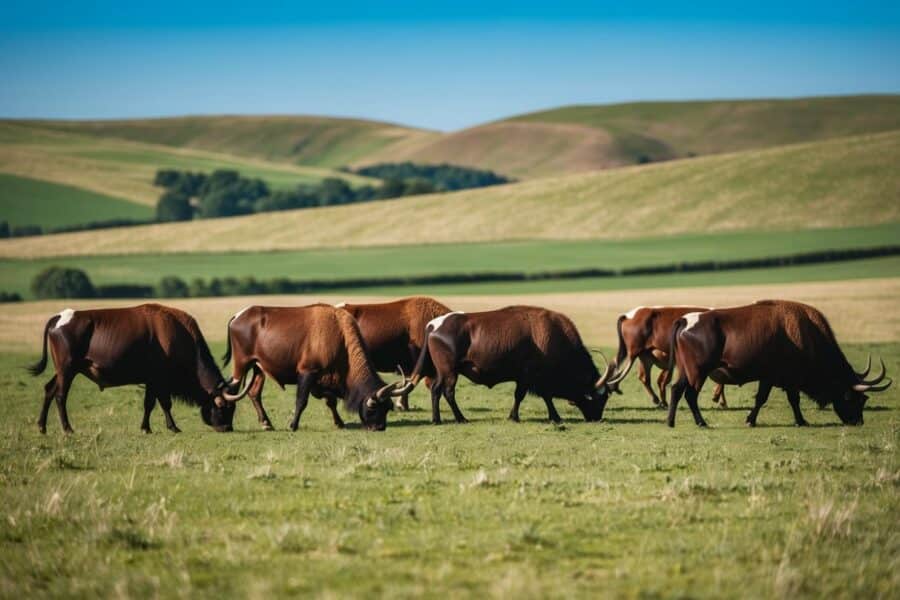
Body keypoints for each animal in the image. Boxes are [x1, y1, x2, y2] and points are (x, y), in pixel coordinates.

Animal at [27, 308, 237, 434]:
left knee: (49, 390)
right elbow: (162, 404)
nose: (227, 427)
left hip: (63, 371)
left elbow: (151, 404)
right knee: (60, 395)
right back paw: (67, 429)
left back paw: (42, 427)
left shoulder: (153, 382)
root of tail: (58, 318)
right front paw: (171, 427)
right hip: (67, 370)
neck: (176, 335)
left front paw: (148, 427)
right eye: (223, 406)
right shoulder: (159, 381)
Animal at [221, 304, 408, 432]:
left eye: (387, 408)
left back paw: (266, 423)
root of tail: (238, 315)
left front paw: (339, 422)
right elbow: (302, 401)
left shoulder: (326, 379)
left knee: (254, 393)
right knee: (232, 390)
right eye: (373, 408)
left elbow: (330, 401)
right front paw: (293, 425)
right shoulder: (307, 372)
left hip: (258, 368)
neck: (338, 335)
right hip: (241, 365)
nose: (379, 427)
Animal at [402, 308, 608, 424]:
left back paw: (439, 418)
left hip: (443, 371)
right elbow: (526, 396)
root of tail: (433, 325)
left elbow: (543, 396)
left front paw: (552, 416)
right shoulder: (528, 376)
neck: (552, 335)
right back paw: (455, 418)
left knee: (437, 390)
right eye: (600, 398)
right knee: (445, 391)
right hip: (449, 371)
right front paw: (516, 417)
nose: (597, 418)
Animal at [596, 308, 732, 410]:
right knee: (628, 372)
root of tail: (628, 315)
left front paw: (719, 399)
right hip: (634, 353)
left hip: (643, 356)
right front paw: (719, 399)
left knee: (634, 373)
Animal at [664, 300, 888, 426]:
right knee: (690, 395)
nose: (857, 422)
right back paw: (701, 422)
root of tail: (685, 320)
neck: (803, 334)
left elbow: (767, 399)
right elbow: (779, 400)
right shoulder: (780, 379)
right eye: (851, 398)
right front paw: (800, 421)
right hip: (698, 372)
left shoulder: (772, 378)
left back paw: (671, 421)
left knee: (676, 390)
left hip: (686, 371)